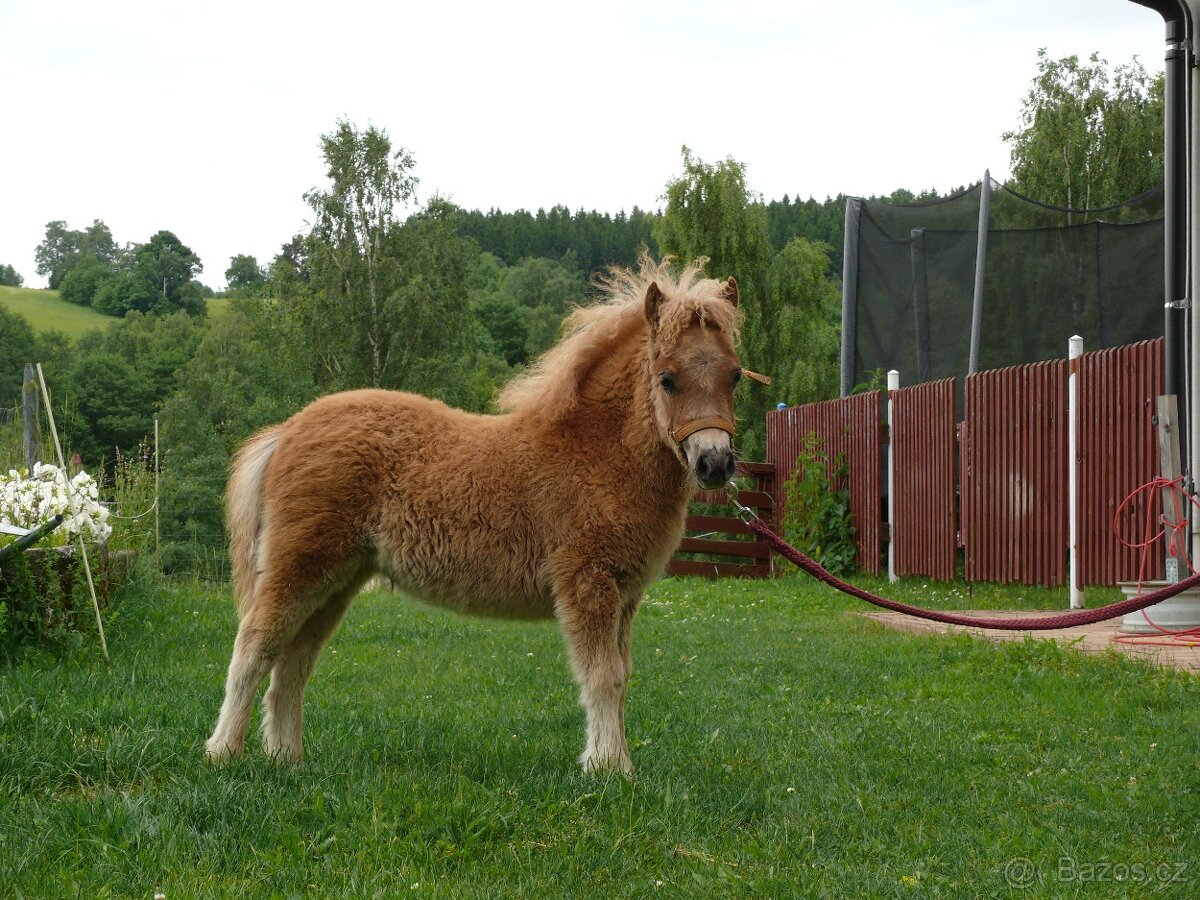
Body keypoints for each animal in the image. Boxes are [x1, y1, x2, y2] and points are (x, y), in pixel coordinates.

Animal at [205, 253, 745, 774]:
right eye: (667, 379)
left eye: (735, 375)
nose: (715, 463)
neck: (595, 451)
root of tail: (288, 429)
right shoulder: (587, 582)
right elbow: (603, 678)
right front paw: (610, 771)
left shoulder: (624, 595)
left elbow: (621, 676)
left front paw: (611, 762)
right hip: (299, 568)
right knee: (251, 651)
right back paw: (223, 754)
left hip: (337, 581)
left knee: (292, 667)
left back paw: (286, 760)